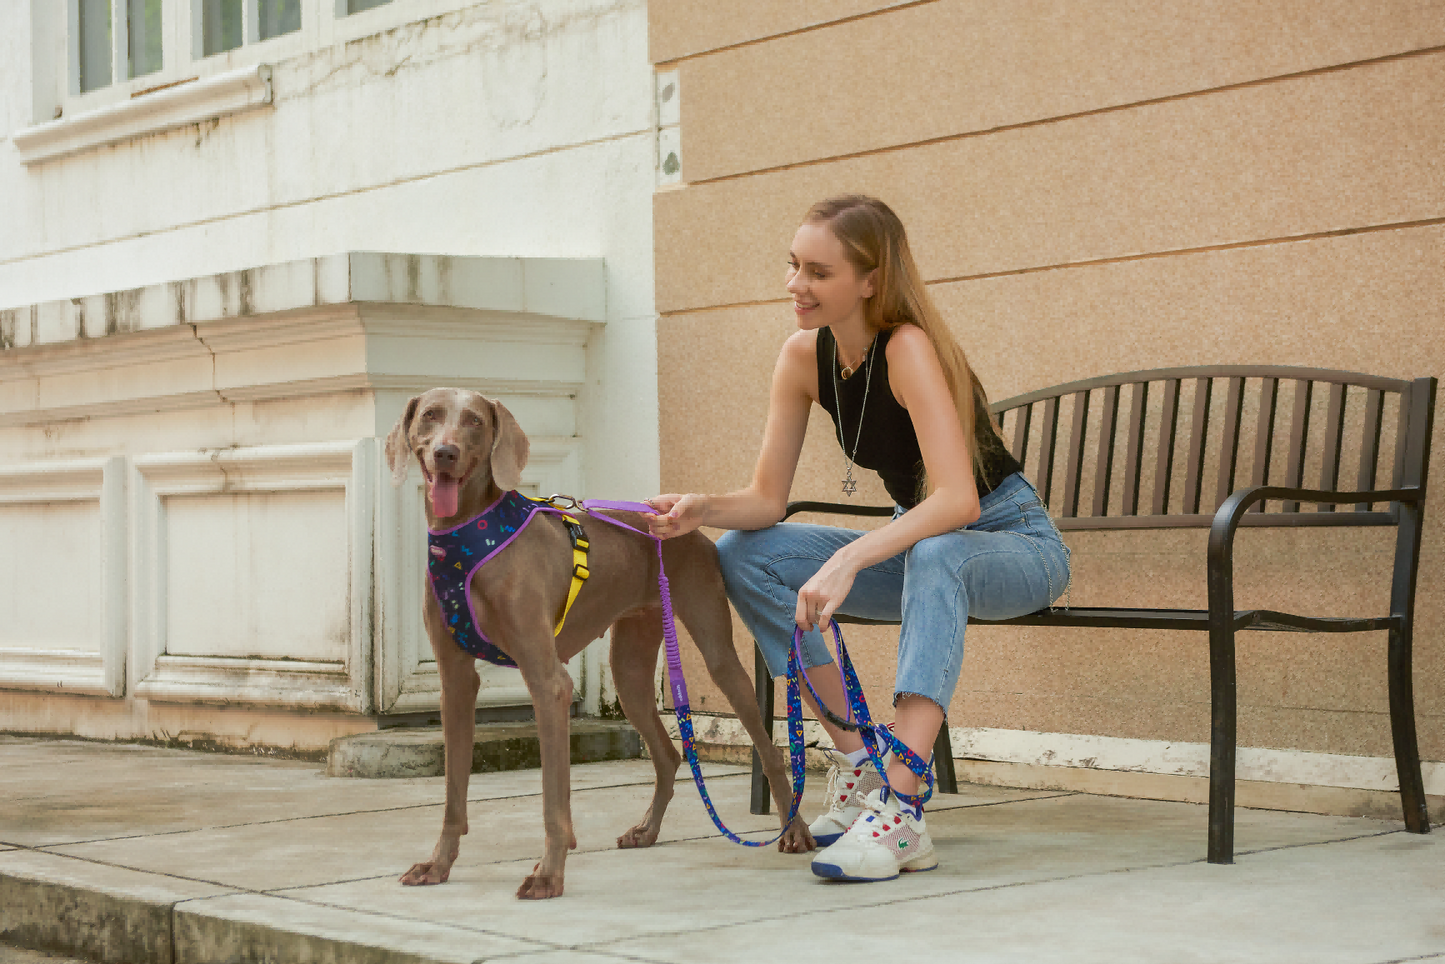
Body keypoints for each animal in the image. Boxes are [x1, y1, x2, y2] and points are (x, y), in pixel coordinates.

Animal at [384, 387, 814, 901]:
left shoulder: (549, 682)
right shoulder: (454, 683)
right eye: (430, 415)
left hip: (718, 655)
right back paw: (647, 830)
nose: (445, 453)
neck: (469, 537)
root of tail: (674, 519)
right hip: (630, 671)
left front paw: (548, 874)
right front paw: (438, 864)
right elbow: (453, 795)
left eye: (474, 421)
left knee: (769, 750)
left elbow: (554, 797)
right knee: (668, 755)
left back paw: (795, 831)